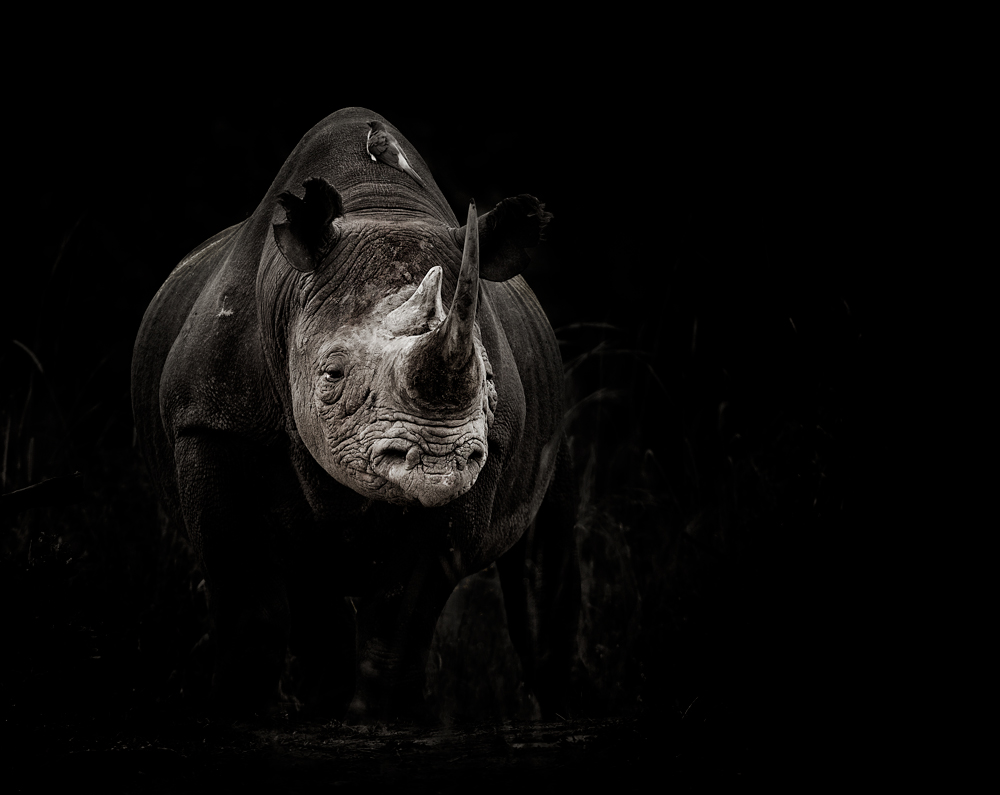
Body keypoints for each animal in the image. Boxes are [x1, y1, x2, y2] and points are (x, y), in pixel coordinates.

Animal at [131, 107, 579, 721]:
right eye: (333, 375)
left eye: (487, 382)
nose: (437, 462)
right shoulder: (209, 421)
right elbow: (246, 595)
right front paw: (240, 714)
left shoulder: (484, 460)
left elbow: (404, 618)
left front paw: (387, 719)